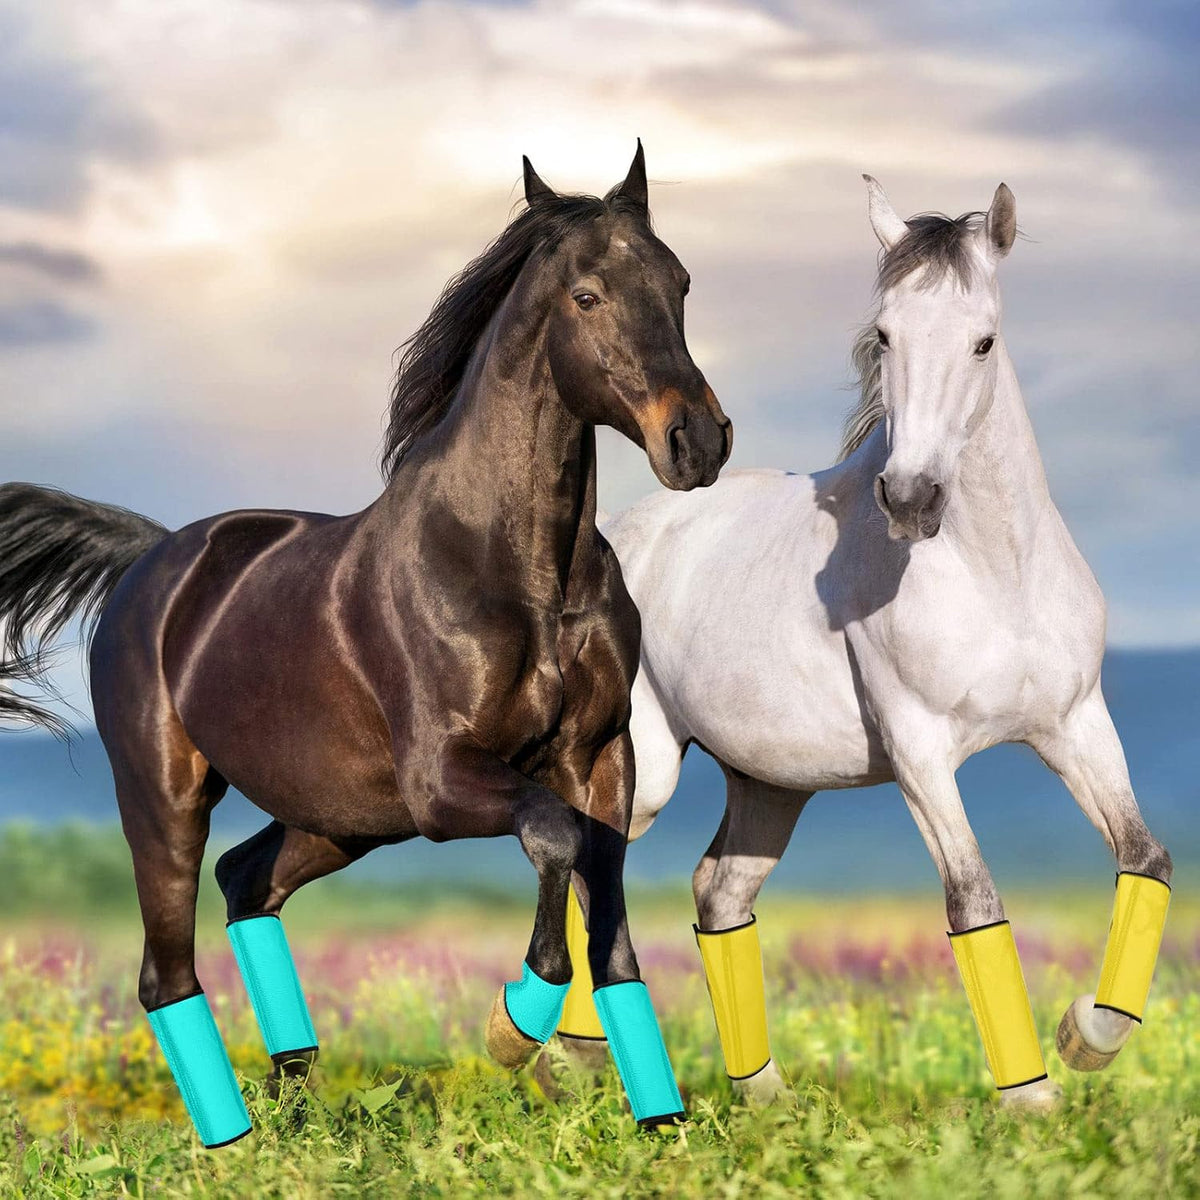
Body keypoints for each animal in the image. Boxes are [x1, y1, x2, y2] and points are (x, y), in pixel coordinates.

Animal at [0, 144, 732, 1146]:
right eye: (587, 295)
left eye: (681, 281)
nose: (698, 441)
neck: (518, 571)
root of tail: (152, 559)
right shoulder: (443, 779)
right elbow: (551, 841)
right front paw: (513, 1028)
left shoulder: (598, 761)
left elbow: (610, 921)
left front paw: (662, 1125)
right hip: (167, 797)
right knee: (165, 969)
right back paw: (233, 1141)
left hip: (341, 818)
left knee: (247, 881)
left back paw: (296, 1111)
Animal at [551, 177, 1172, 1111]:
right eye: (885, 334)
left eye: (984, 340)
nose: (911, 498)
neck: (995, 574)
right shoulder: (921, 753)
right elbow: (973, 900)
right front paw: (1031, 1098)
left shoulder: (1074, 726)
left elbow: (1147, 859)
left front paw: (1086, 1036)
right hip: (648, 769)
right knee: (594, 870)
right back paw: (550, 1048)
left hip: (771, 785)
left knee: (717, 891)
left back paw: (762, 1093)